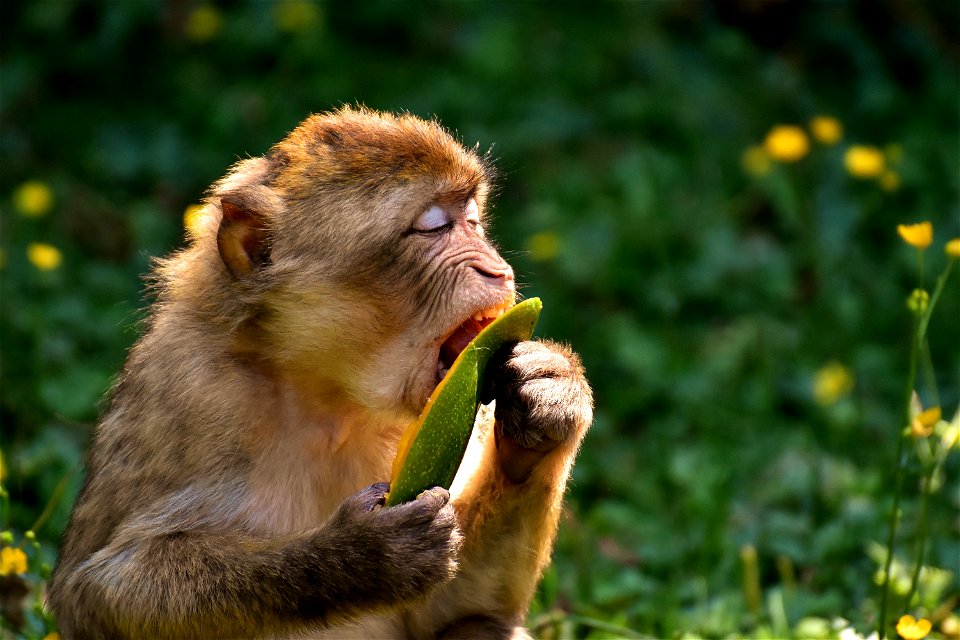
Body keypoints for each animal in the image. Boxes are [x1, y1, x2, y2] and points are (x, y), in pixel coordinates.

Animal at [50, 109, 592, 640]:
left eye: (473, 220)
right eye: (433, 227)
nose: (497, 271)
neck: (326, 393)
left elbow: (458, 611)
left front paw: (549, 401)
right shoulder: (186, 388)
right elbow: (97, 590)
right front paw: (364, 557)